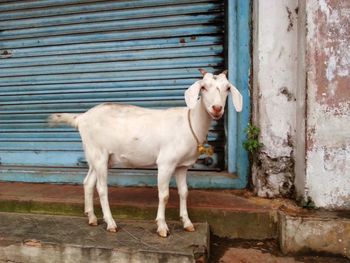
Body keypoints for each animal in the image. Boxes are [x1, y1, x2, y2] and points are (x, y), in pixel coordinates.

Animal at [48, 69, 241, 238]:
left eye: (227, 88)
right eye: (204, 87)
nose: (217, 108)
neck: (190, 123)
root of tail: (81, 118)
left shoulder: (182, 166)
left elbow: (184, 192)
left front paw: (187, 223)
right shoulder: (166, 163)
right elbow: (164, 195)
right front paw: (162, 227)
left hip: (97, 156)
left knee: (88, 182)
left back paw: (92, 218)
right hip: (99, 154)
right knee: (101, 188)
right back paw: (110, 223)